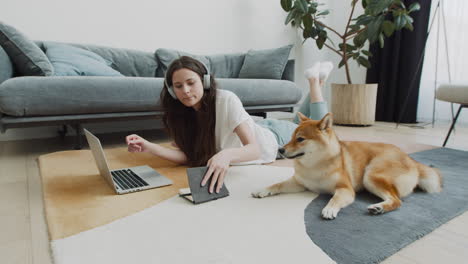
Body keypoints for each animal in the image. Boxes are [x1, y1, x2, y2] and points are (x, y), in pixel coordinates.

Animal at [252, 112, 442, 220]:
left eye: (300, 139)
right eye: (291, 137)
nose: (280, 149)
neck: (314, 166)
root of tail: (411, 160)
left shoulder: (345, 188)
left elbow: (334, 198)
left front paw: (329, 209)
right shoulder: (300, 183)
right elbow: (277, 185)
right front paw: (263, 190)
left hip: (370, 175)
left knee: (397, 201)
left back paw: (379, 208)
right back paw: (378, 207)